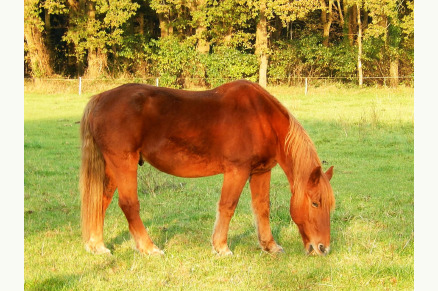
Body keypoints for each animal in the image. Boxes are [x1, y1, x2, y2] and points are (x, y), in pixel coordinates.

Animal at [79, 80, 336, 258]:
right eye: (315, 203)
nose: (323, 248)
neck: (261, 117)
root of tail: (101, 98)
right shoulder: (237, 170)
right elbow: (228, 206)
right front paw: (221, 247)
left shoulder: (261, 171)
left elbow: (262, 207)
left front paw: (269, 246)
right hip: (124, 163)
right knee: (129, 205)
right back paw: (149, 248)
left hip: (113, 167)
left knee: (100, 200)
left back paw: (97, 246)